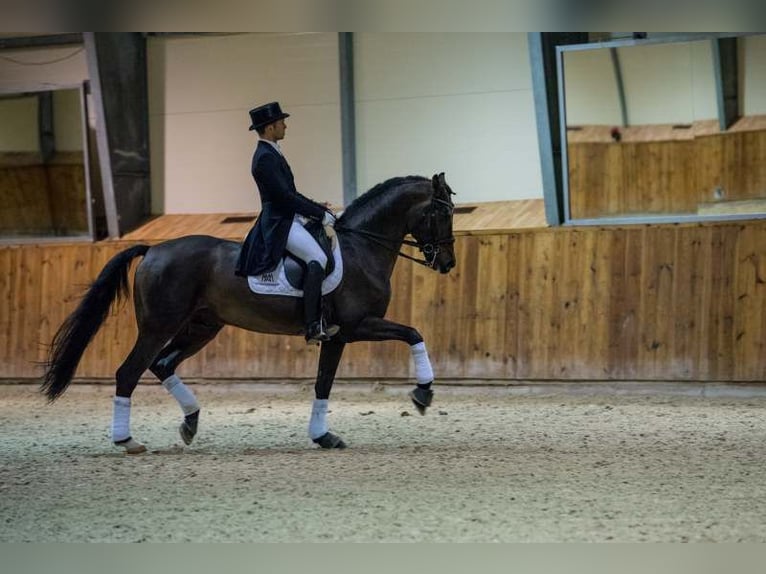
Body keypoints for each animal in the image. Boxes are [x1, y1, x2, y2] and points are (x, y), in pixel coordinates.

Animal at [40, 173, 456, 452]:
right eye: (441, 213)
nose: (448, 263)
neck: (361, 249)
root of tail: (153, 249)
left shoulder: (337, 336)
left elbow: (323, 384)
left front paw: (323, 436)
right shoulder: (357, 326)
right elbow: (414, 333)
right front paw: (423, 393)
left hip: (201, 327)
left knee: (162, 364)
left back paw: (190, 422)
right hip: (158, 326)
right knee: (129, 372)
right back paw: (127, 440)